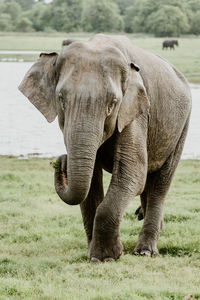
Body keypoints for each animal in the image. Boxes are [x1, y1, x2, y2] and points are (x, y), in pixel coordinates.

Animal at [18, 33, 191, 262]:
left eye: (112, 103)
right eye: (61, 99)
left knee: (160, 182)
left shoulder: (136, 112)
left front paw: (106, 257)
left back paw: (145, 251)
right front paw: (93, 254)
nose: (60, 161)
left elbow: (132, 172)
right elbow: (91, 179)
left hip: (182, 125)